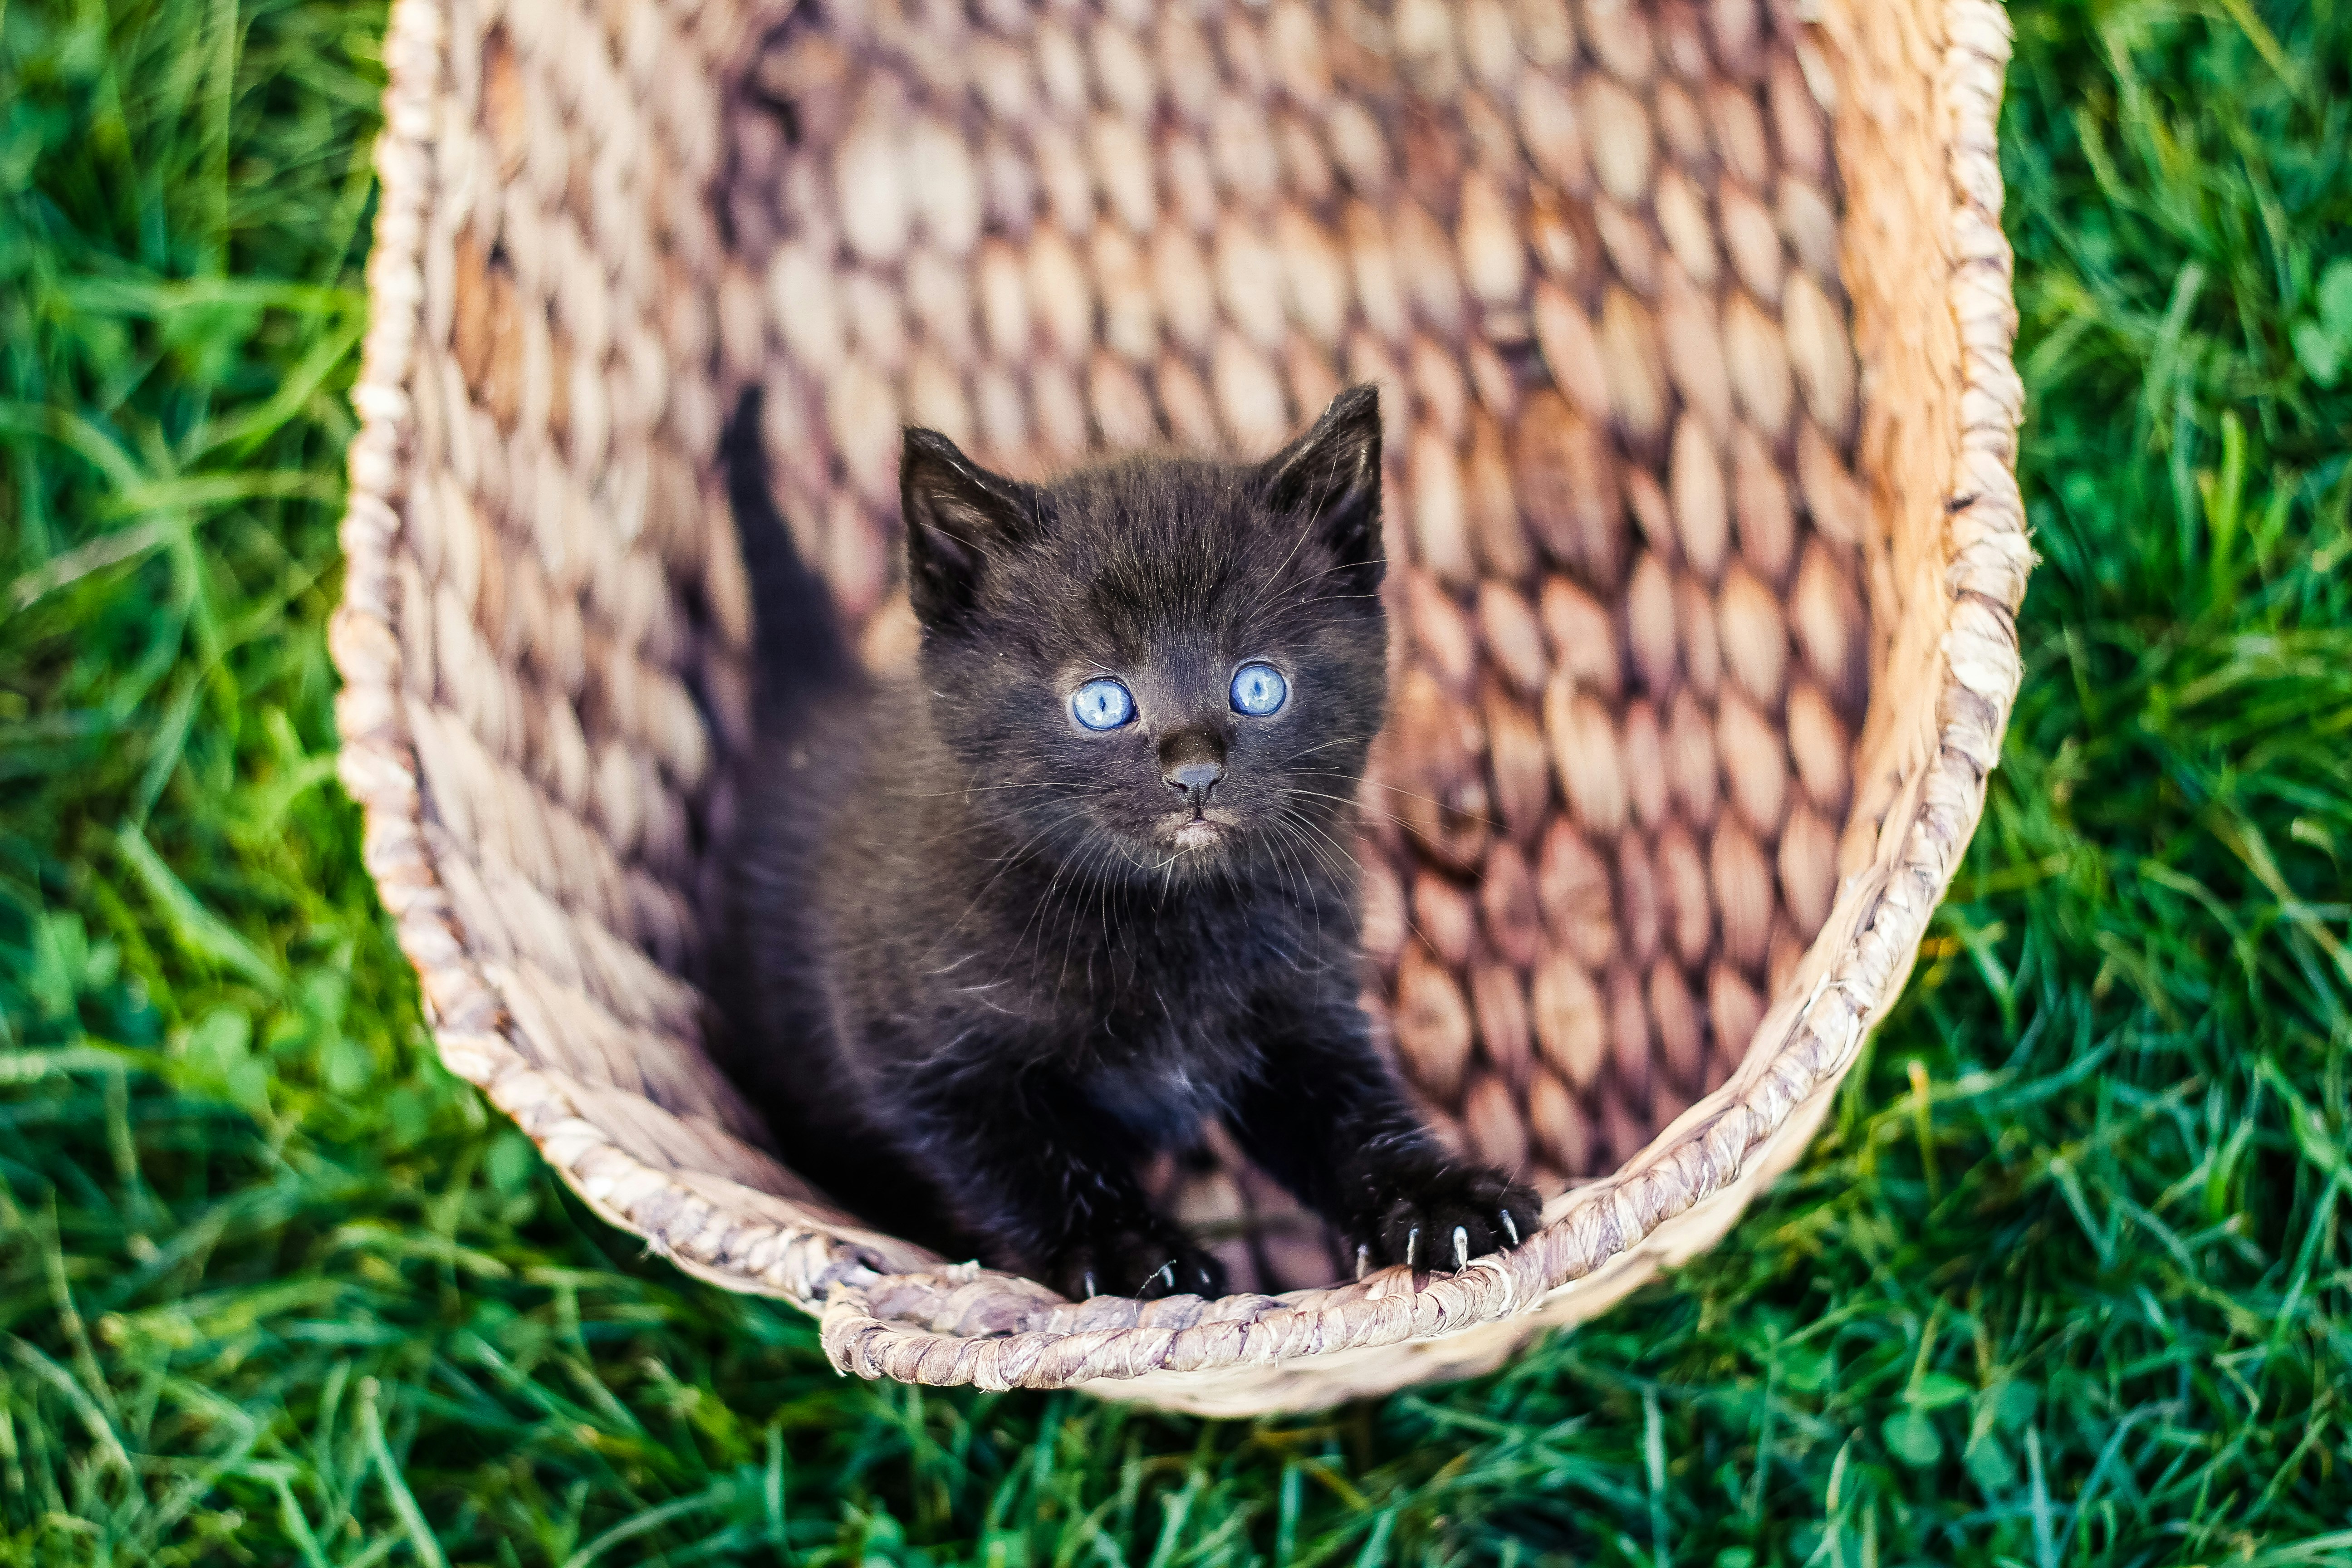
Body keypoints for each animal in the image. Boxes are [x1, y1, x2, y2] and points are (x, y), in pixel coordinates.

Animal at [724, 383, 1552, 1298]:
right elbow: (1023, 1159)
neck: (1161, 915)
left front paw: (1436, 1200)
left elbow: (1351, 1114)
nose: (1195, 774)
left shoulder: (1300, 1012)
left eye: (1257, 687)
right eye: (1102, 702)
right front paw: (1128, 1254)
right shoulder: (919, 1054)